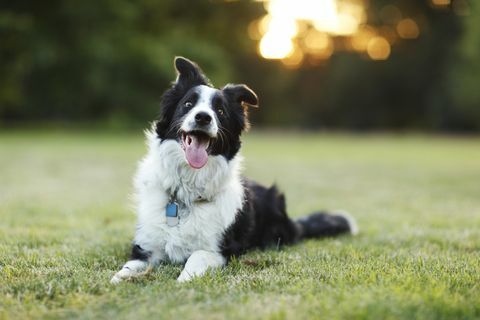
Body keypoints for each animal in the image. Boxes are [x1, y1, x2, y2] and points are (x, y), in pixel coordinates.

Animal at [111, 57, 356, 282]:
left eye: (220, 111)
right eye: (188, 105)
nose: (203, 117)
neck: (187, 192)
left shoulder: (221, 250)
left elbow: (196, 256)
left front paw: (182, 280)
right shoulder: (146, 246)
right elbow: (128, 267)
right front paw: (120, 279)